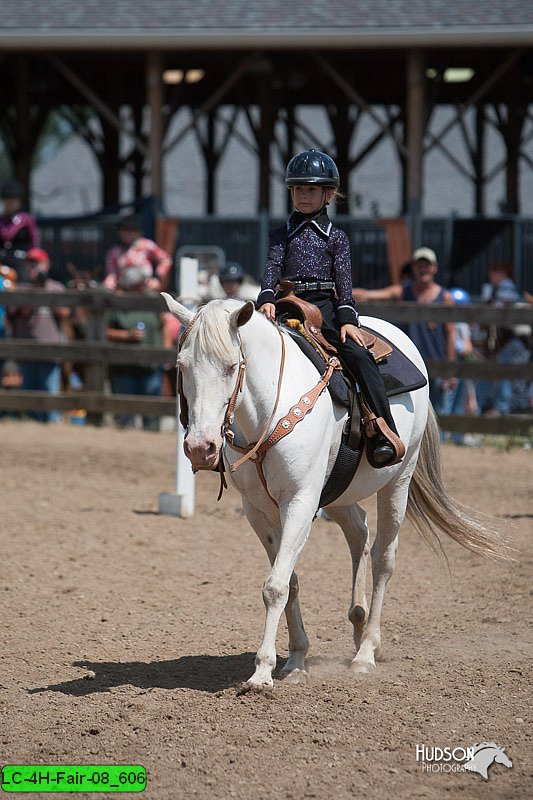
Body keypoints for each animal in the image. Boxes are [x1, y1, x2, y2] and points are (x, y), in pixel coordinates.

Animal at [164, 296, 504, 692]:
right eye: (182, 366)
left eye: (231, 367)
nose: (200, 448)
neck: (268, 412)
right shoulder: (258, 510)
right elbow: (289, 580)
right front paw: (296, 659)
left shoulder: (300, 501)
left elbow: (275, 586)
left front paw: (262, 672)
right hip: (339, 494)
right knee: (360, 533)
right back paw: (357, 623)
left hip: (398, 482)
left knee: (384, 558)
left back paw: (366, 651)